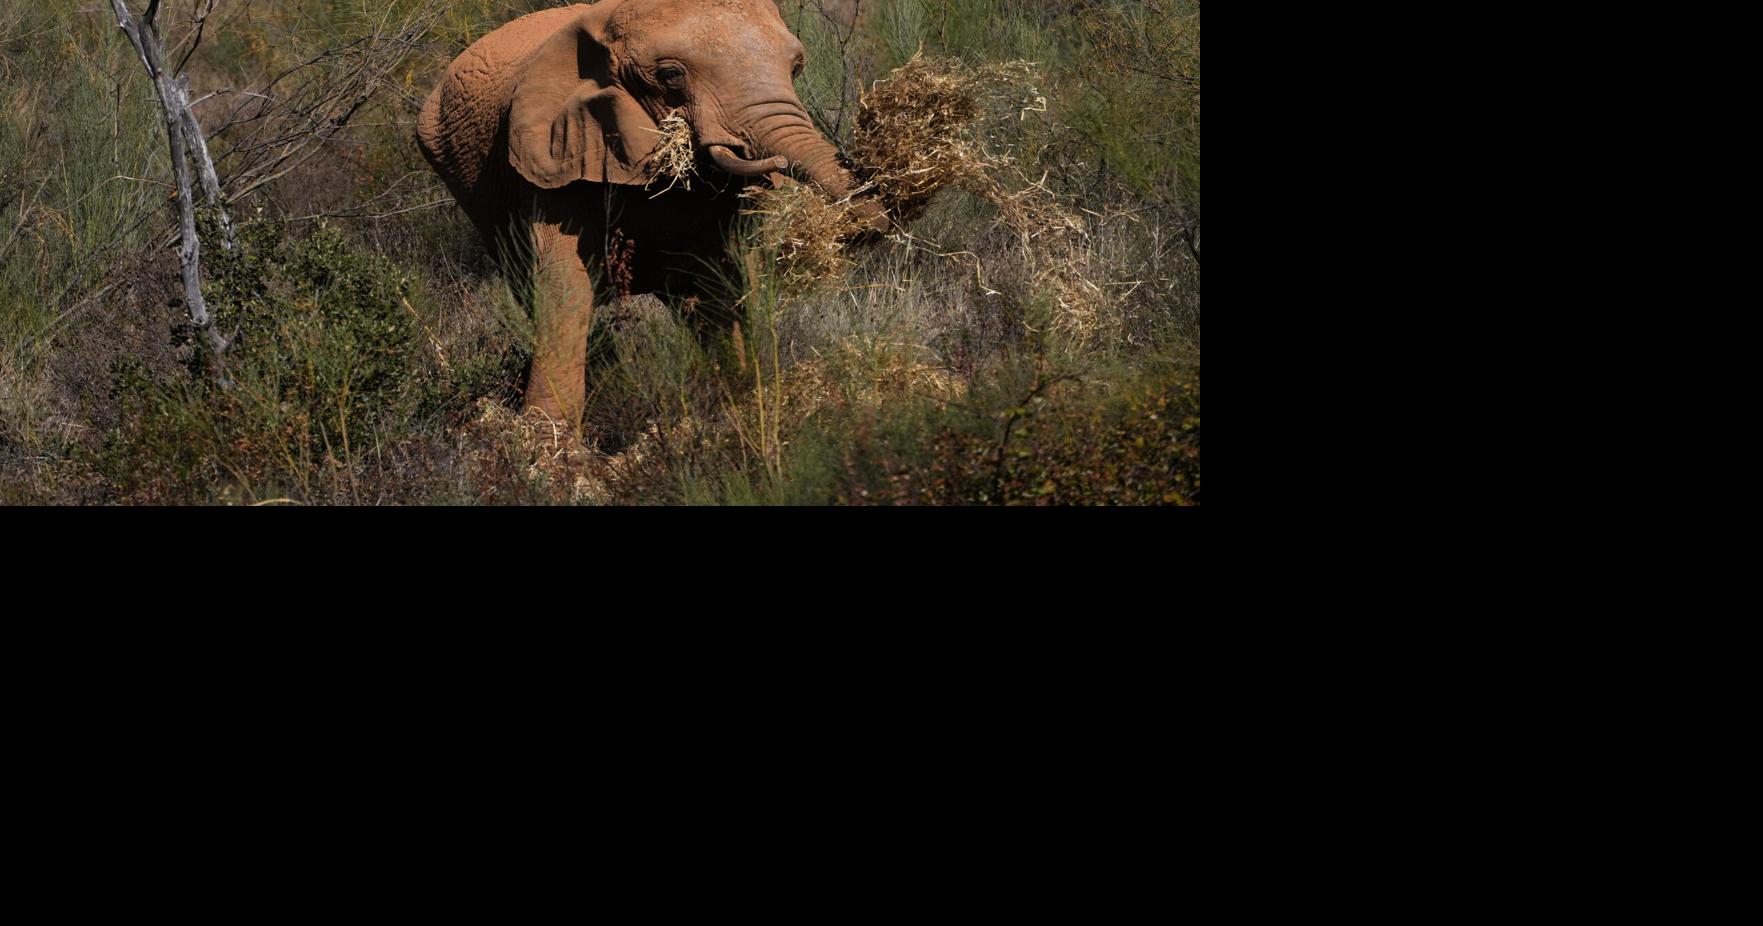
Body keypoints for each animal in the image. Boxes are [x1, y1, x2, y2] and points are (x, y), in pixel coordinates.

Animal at [416, 0, 883, 431]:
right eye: (671, 75)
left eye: (796, 67)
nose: (874, 225)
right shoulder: (547, 155)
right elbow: (564, 286)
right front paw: (546, 447)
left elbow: (722, 281)